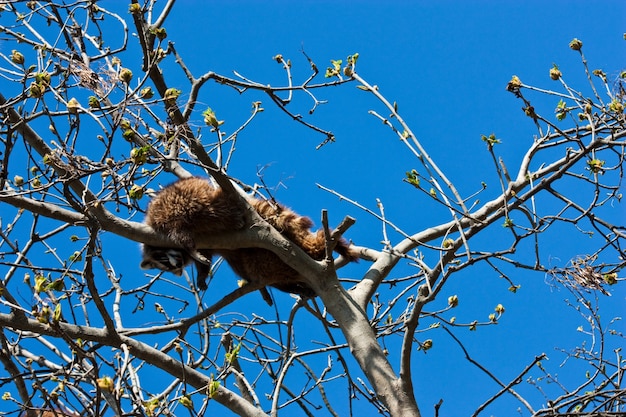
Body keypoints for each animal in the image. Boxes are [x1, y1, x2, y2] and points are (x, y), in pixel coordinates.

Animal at [140, 176, 356, 296]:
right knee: (247, 268)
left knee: (204, 212)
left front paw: (189, 248)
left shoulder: (162, 215)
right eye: (166, 268)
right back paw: (291, 287)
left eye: (163, 261)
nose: (177, 270)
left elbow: (180, 232)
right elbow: (206, 257)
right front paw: (201, 273)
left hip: (193, 196)